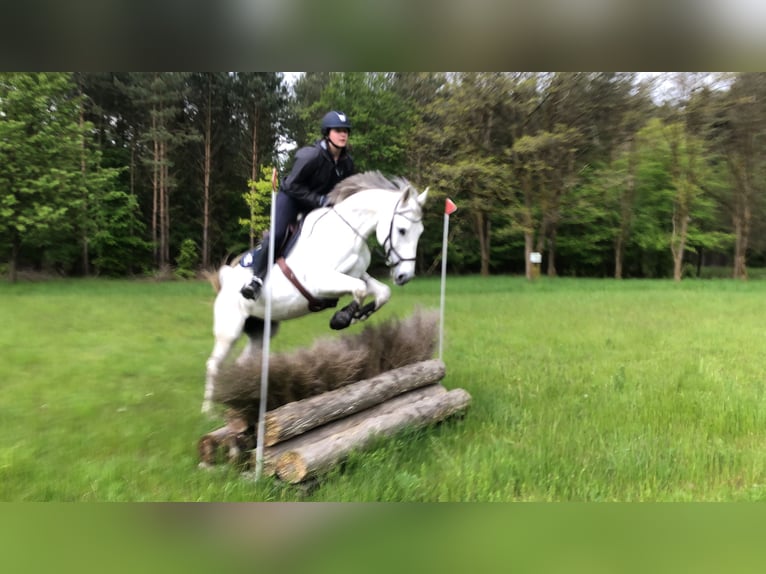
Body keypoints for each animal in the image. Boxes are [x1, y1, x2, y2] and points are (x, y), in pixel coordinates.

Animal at [202, 171, 432, 414]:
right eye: (402, 230)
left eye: (420, 232)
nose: (405, 276)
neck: (348, 233)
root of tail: (225, 281)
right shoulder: (320, 283)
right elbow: (359, 290)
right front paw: (341, 318)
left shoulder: (358, 275)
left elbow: (381, 292)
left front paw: (358, 315)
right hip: (230, 329)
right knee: (214, 363)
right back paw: (208, 411)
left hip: (261, 330)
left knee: (243, 362)